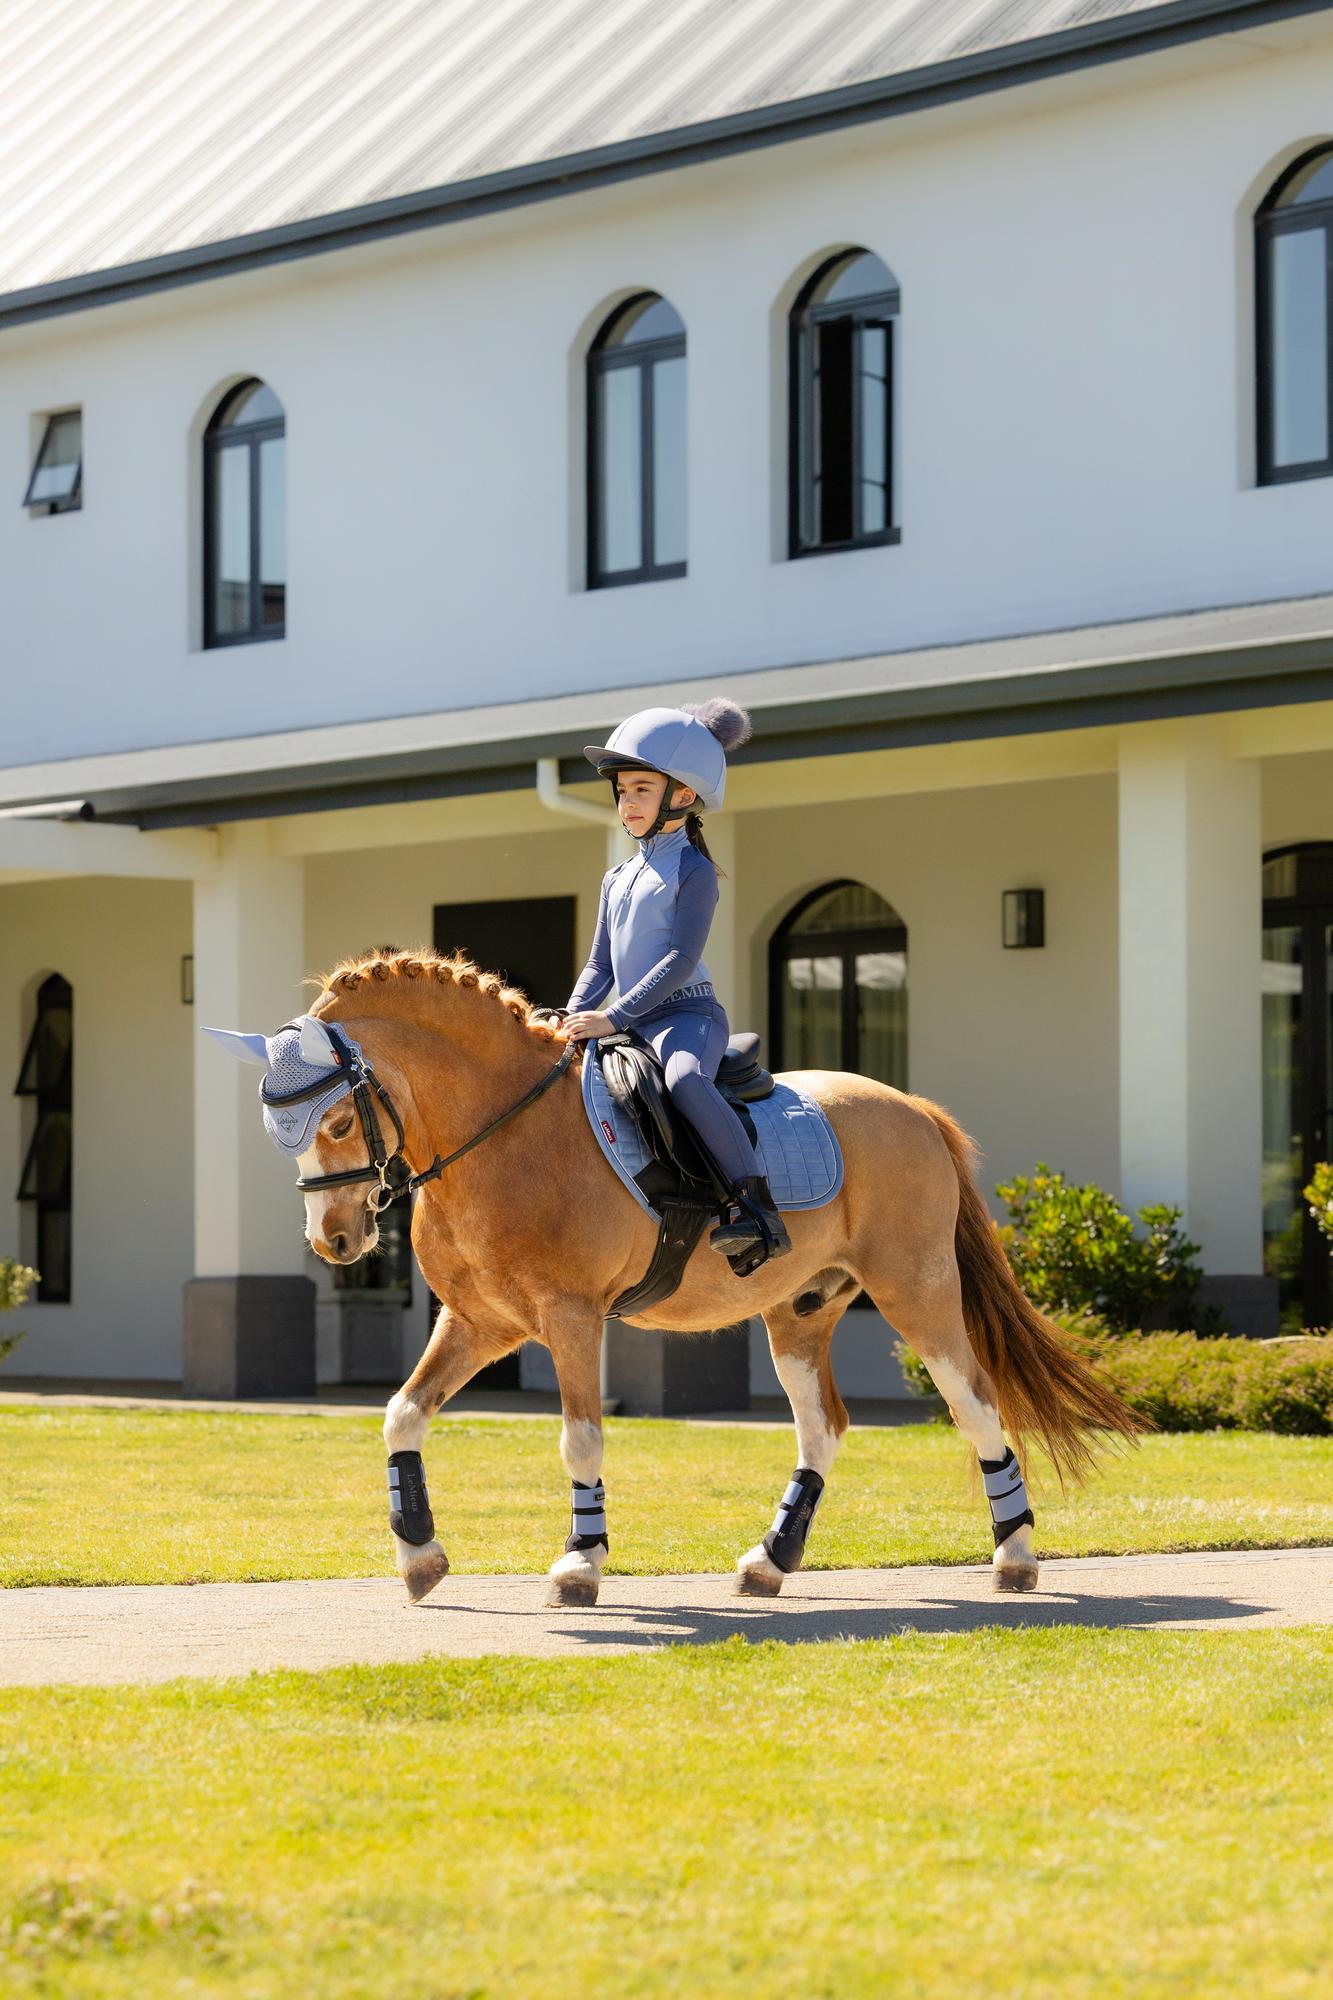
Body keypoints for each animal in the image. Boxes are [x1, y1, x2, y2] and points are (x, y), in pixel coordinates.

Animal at [288, 946, 1138, 1608]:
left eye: (337, 1120)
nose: (334, 1239)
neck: (504, 1130)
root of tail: (912, 1107)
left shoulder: (570, 1318)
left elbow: (580, 1440)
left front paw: (579, 1565)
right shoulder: (480, 1322)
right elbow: (403, 1415)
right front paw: (420, 1556)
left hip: (916, 1293)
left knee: (974, 1403)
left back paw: (1015, 1555)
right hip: (799, 1312)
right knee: (823, 1425)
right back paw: (771, 1561)